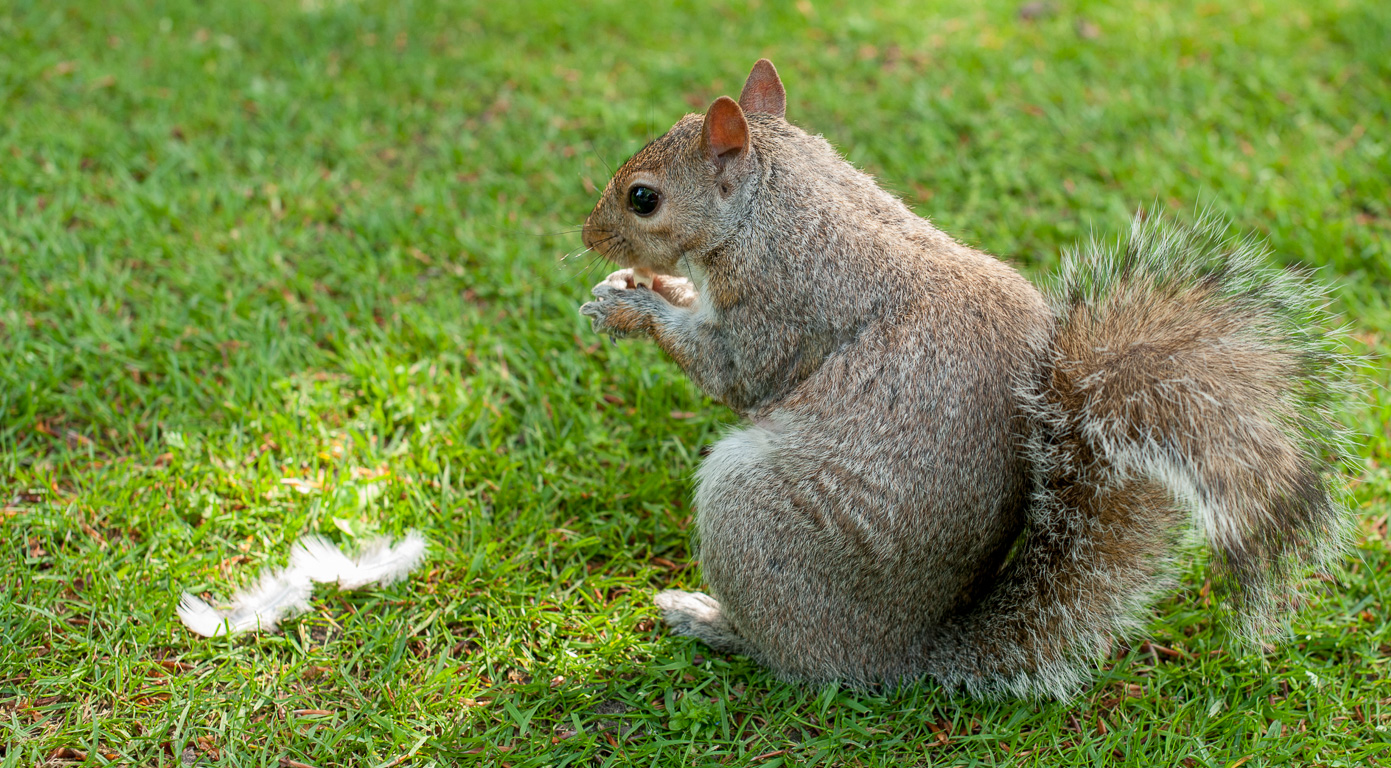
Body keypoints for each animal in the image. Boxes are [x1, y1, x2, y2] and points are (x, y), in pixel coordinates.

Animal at [573, 58, 1346, 695]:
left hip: (749, 521)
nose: (587, 236)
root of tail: (899, 655)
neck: (777, 203)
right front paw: (644, 284)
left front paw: (629, 307)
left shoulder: (781, 304)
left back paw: (707, 618)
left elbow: (730, 372)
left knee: (790, 659)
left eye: (643, 198)